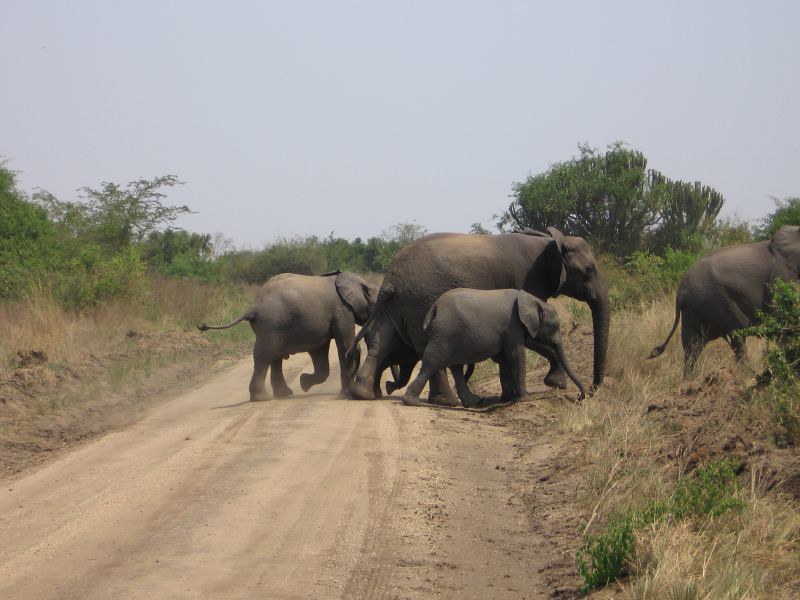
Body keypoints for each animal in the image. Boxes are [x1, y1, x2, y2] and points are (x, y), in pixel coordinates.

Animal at [198, 274, 376, 404]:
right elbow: (343, 345)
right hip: (272, 322)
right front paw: (345, 393)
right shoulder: (342, 311)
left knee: (273, 356)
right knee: (264, 356)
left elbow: (320, 352)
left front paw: (304, 383)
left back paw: (283, 394)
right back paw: (262, 398)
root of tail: (254, 306)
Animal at [404, 288, 584, 408]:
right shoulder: (512, 323)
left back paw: (475, 401)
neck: (532, 300)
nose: (579, 397)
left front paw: (509, 398)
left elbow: (528, 346)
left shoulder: (517, 326)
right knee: (433, 362)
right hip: (445, 332)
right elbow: (517, 354)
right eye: (554, 327)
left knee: (455, 367)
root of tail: (435, 307)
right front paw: (525, 399)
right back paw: (411, 402)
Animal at [648, 225, 800, 376]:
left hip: (694, 308)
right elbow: (780, 316)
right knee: (738, 333)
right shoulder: (780, 275)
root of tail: (680, 292)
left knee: (693, 346)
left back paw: (689, 380)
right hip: (716, 300)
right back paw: (748, 376)